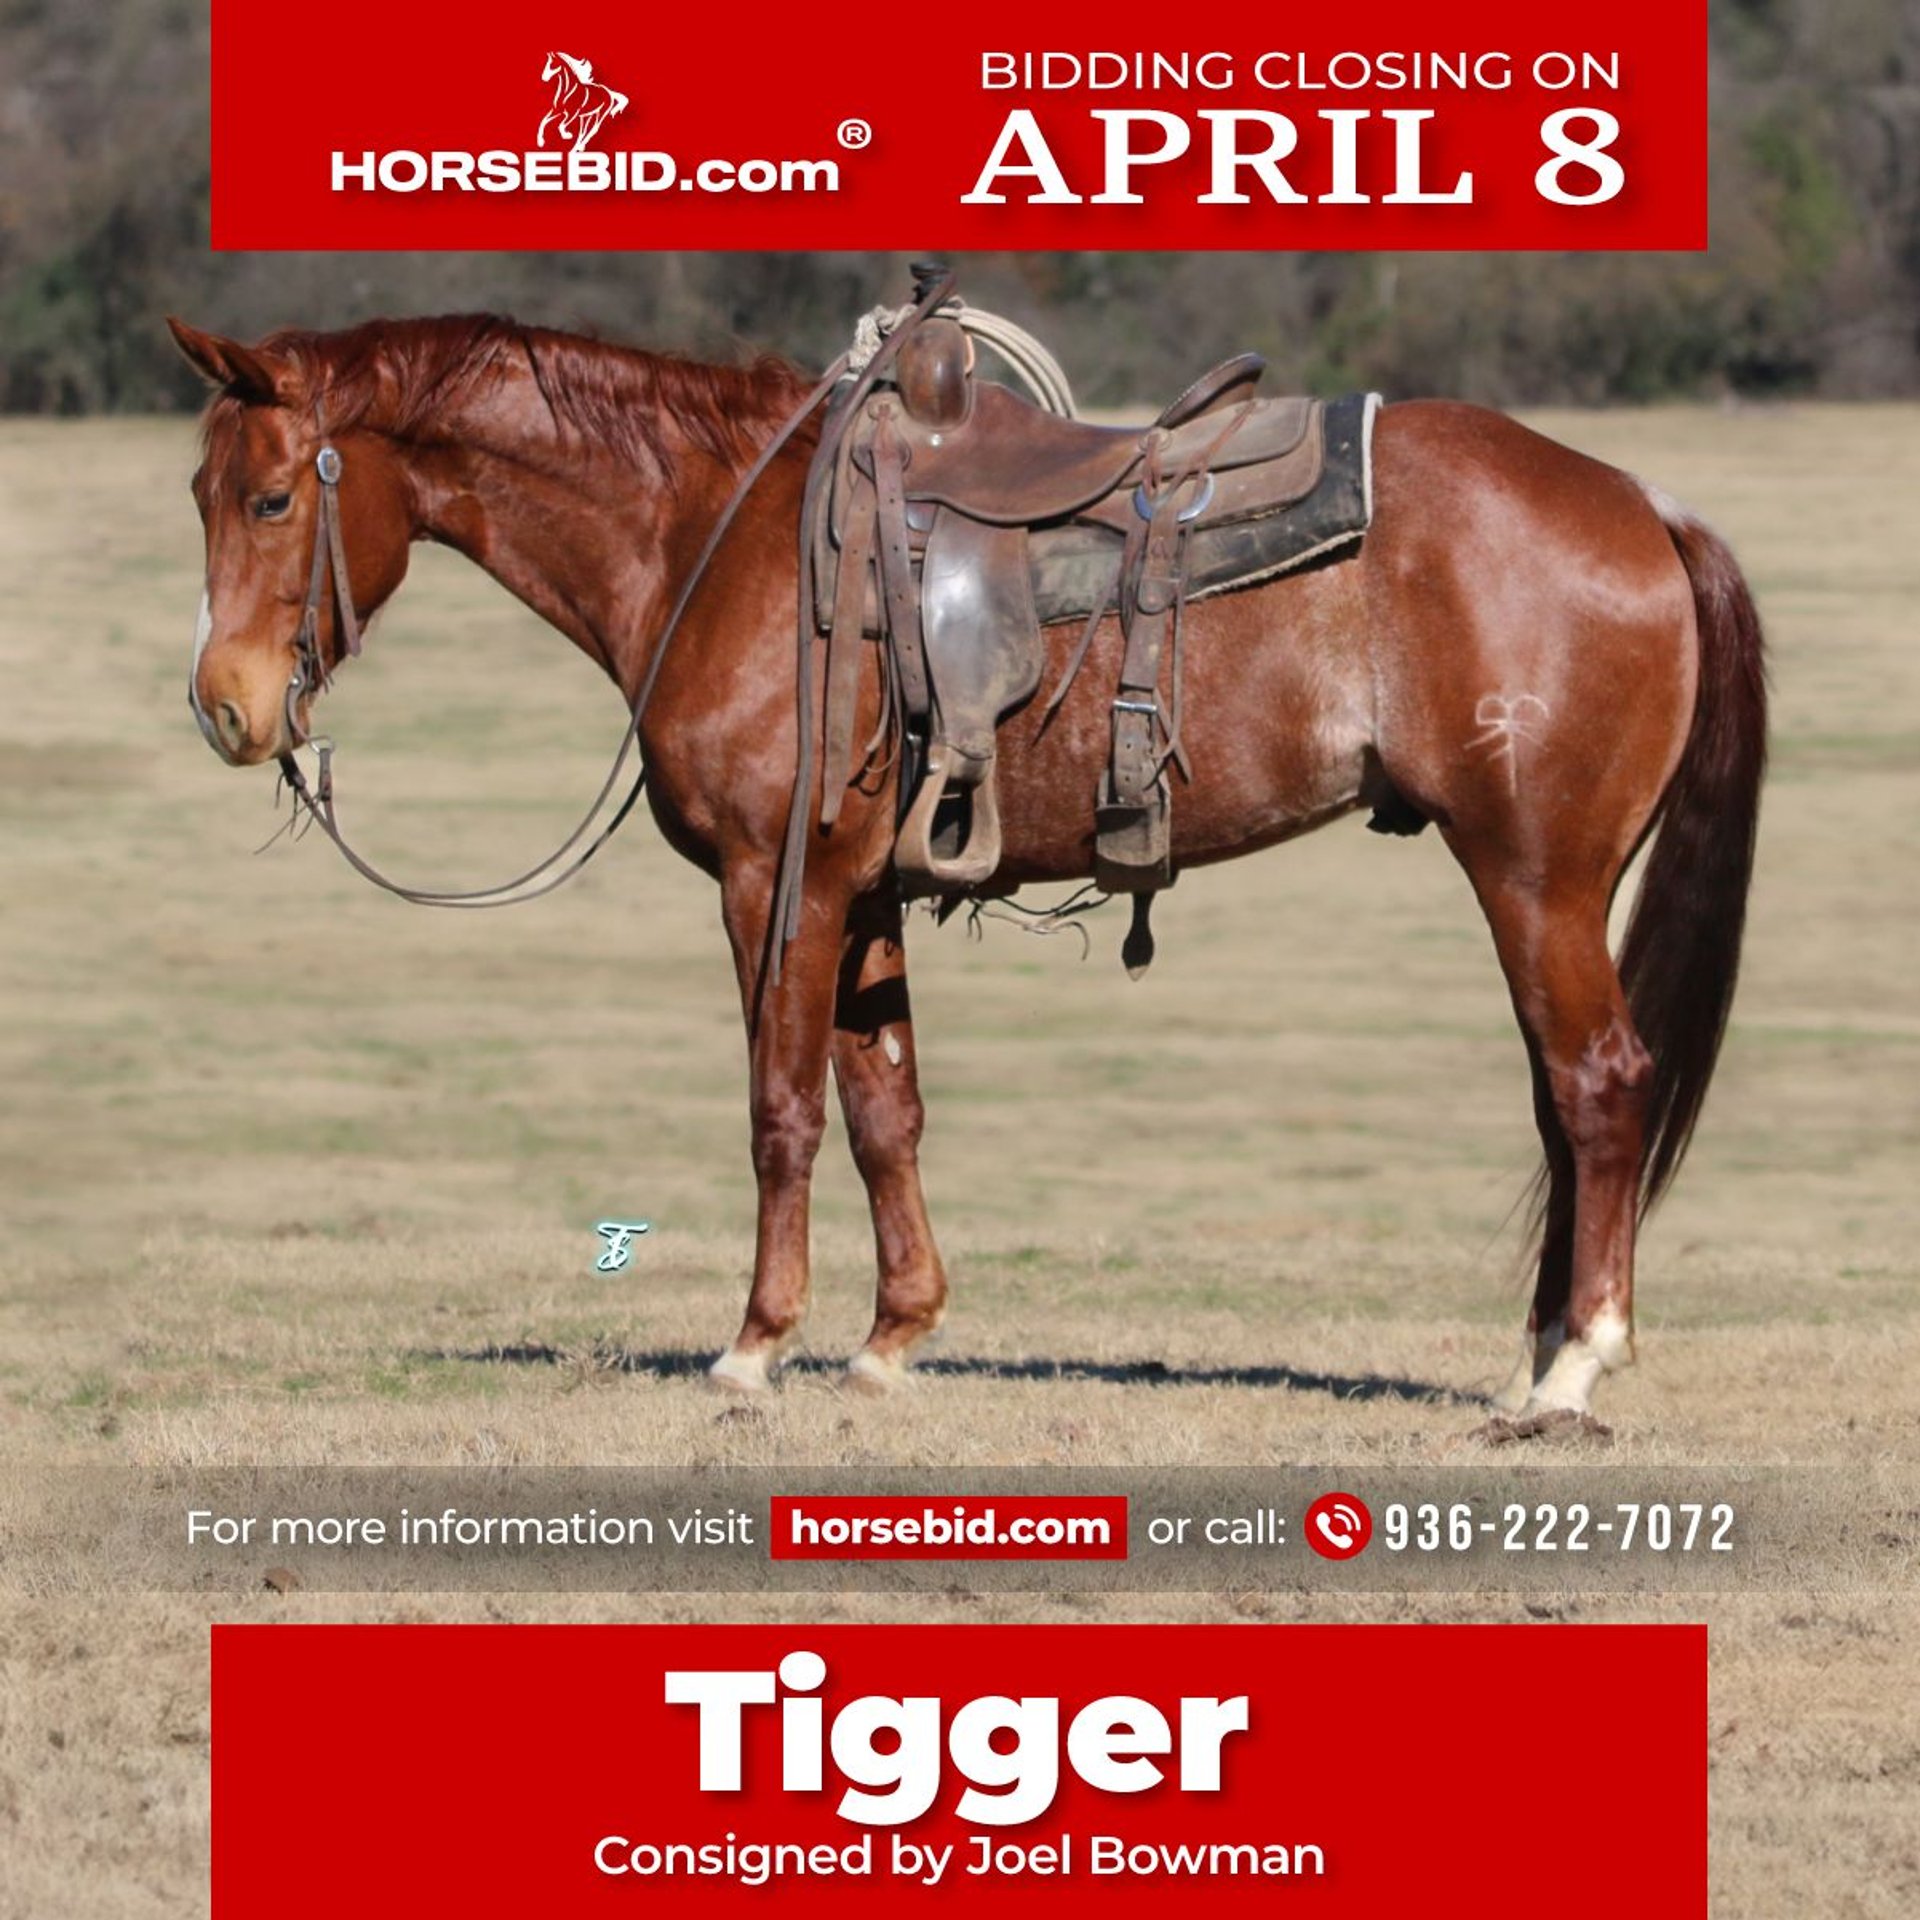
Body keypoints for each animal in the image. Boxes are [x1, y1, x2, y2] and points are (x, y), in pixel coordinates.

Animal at [165, 310, 1766, 1425]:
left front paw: (755, 1346)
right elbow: (887, 1113)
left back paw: (1577, 1370)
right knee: (1562, 1100)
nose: (225, 709)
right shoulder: (864, 895)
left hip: (1536, 879)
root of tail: (1647, 507)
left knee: (1599, 1086)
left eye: (269, 501)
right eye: (196, 494)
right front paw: (892, 1339)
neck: (716, 535)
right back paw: (1540, 1354)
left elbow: (783, 1113)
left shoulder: (774, 885)